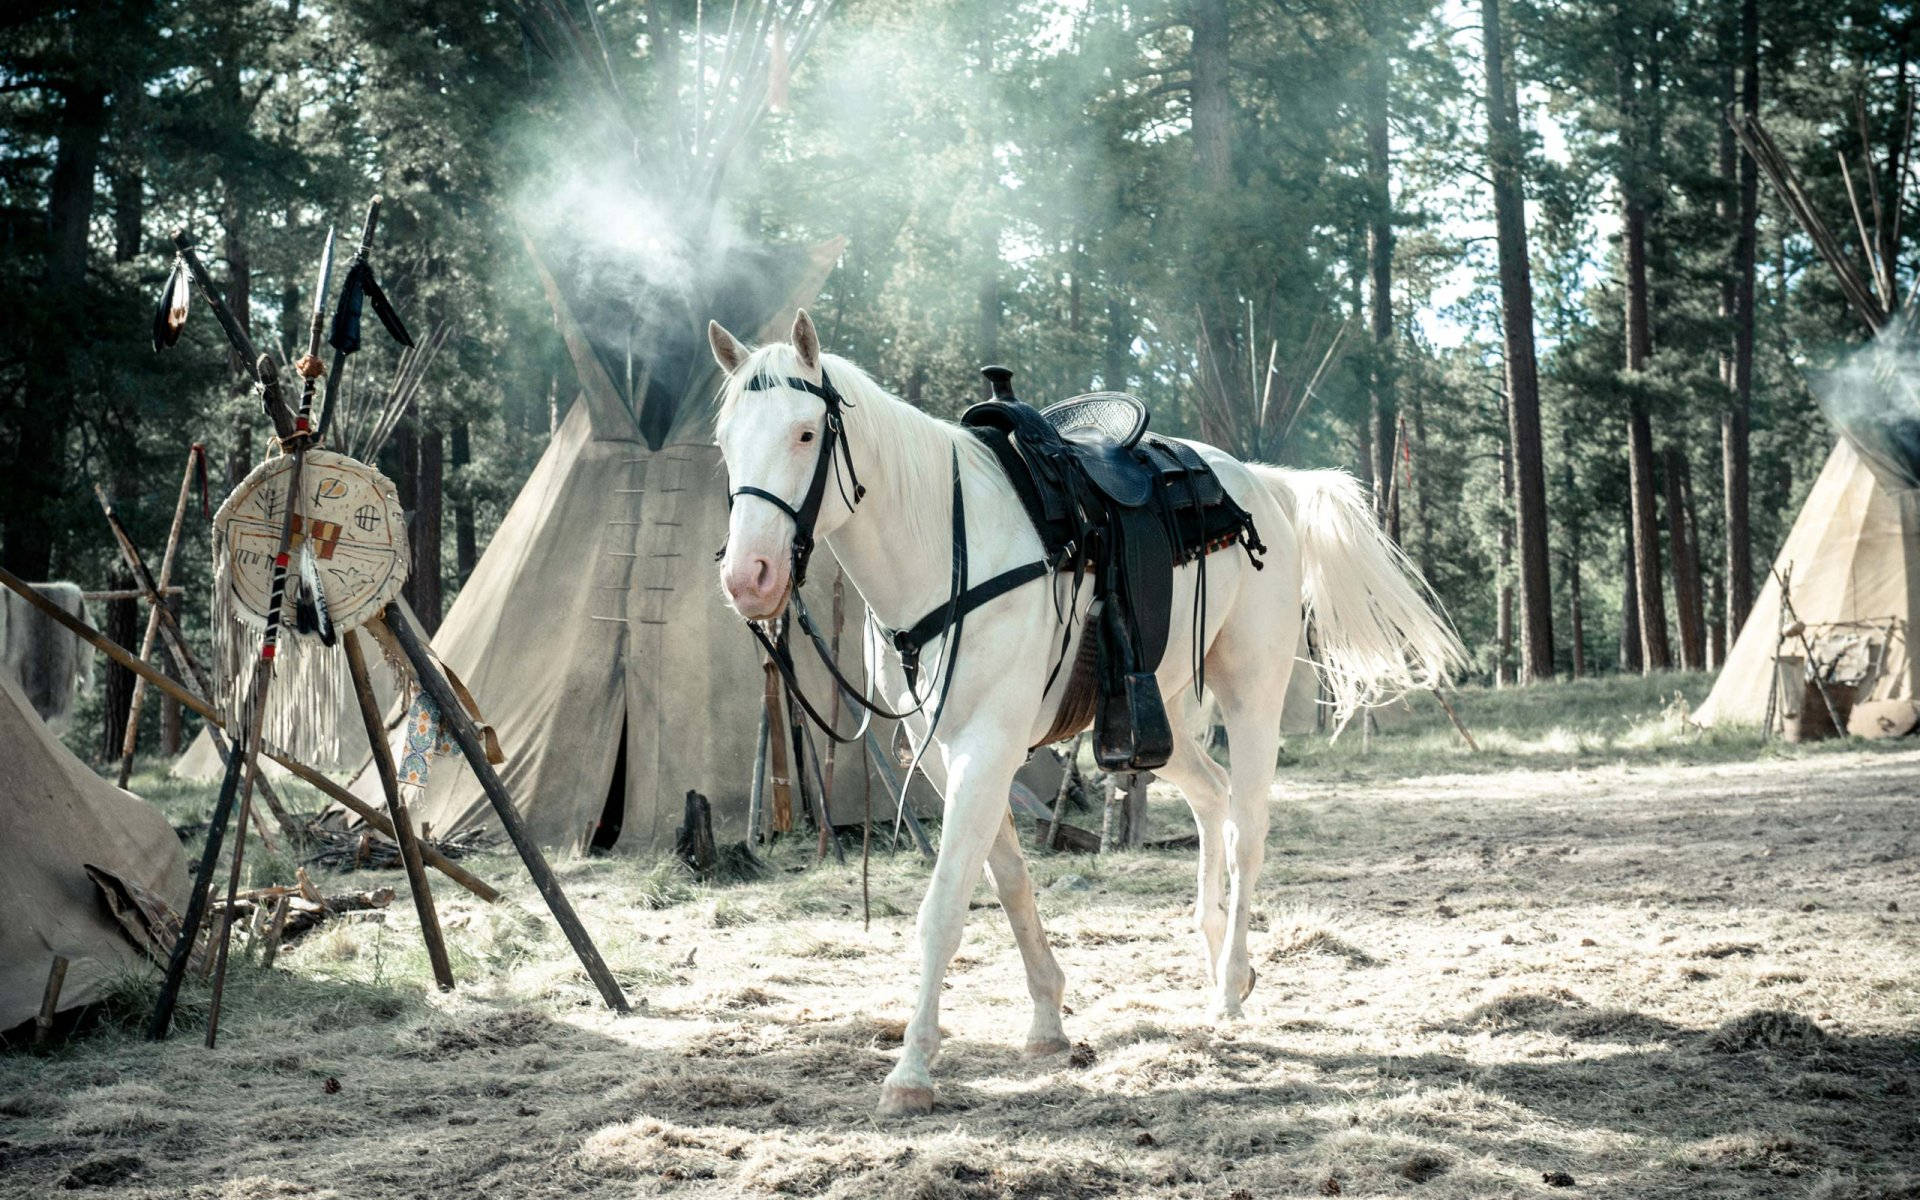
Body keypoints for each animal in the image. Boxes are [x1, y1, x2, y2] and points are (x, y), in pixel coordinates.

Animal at [714, 311, 1459, 1113]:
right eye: (725, 440)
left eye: (805, 434)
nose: (749, 578)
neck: (945, 546)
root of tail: (1268, 484)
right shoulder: (942, 750)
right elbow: (1008, 879)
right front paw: (1047, 1020)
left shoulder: (988, 745)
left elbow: (945, 905)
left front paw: (911, 1071)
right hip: (1158, 711)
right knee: (1212, 798)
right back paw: (1215, 954)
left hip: (1250, 692)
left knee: (1247, 828)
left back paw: (1230, 987)